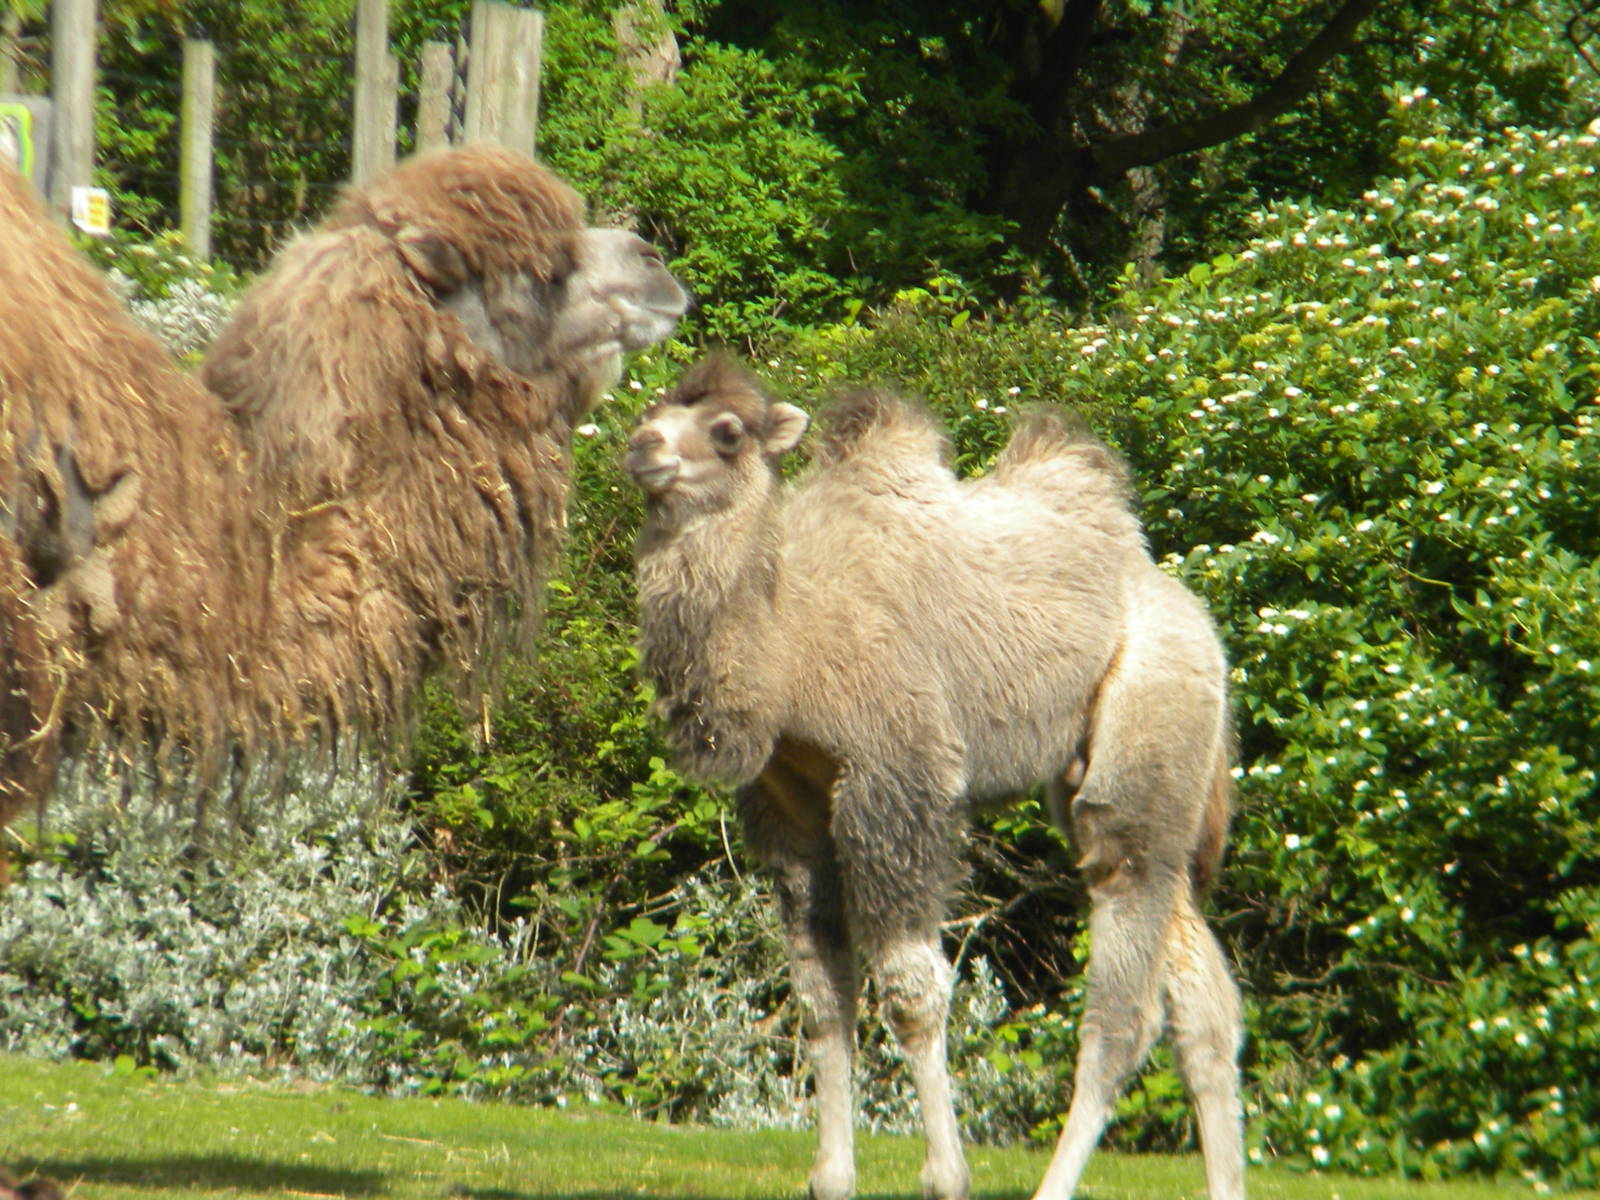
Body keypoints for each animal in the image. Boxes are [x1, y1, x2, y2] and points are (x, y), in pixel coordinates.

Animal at [625, 356, 1245, 1200]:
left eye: (727, 431)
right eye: (656, 409)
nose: (642, 445)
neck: (788, 640)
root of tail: (1193, 616)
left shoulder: (898, 775)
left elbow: (912, 993)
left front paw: (947, 1174)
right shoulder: (787, 802)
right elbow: (821, 997)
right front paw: (831, 1177)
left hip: (1151, 717)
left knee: (1127, 997)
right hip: (1110, 776)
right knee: (1201, 999)